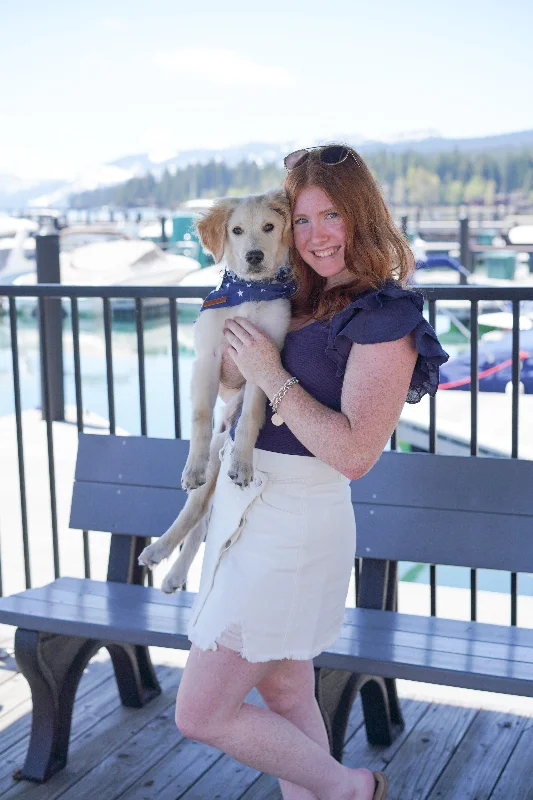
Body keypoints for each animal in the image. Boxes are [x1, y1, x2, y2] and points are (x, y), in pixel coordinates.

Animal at [137, 186, 294, 592]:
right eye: (236, 230)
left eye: (269, 227)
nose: (253, 256)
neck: (249, 294)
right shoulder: (207, 357)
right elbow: (199, 414)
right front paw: (192, 467)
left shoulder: (262, 359)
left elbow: (252, 415)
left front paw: (243, 464)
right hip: (214, 449)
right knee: (194, 513)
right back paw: (160, 553)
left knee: (202, 520)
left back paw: (173, 570)